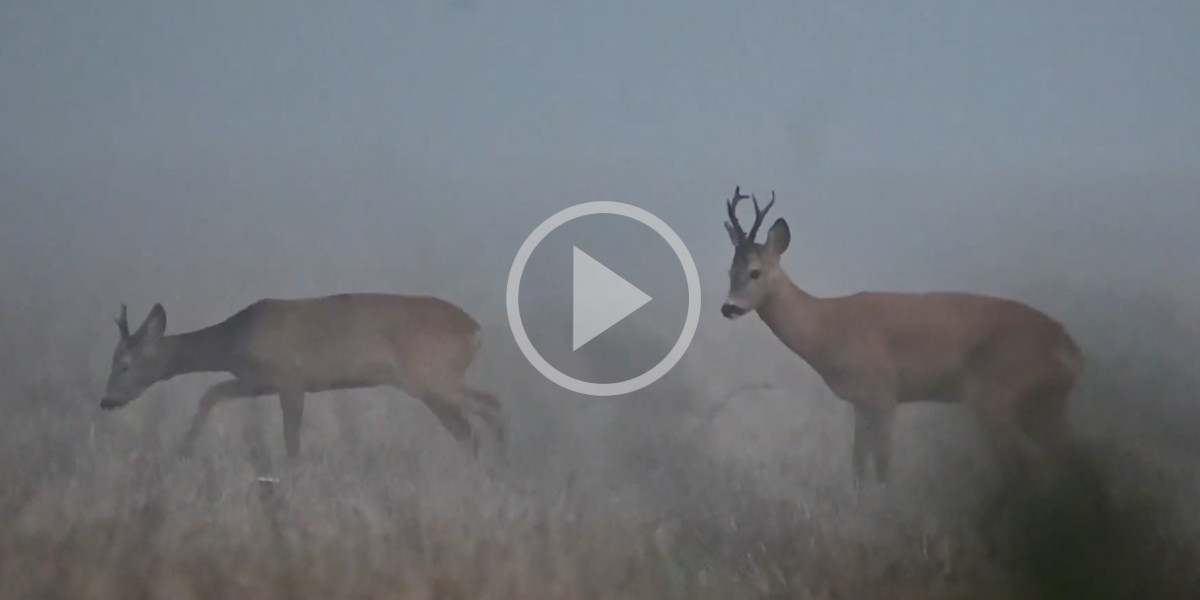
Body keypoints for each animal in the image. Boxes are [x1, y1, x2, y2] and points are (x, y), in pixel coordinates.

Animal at [97, 294, 501, 458]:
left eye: (124, 363)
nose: (106, 401)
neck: (235, 339)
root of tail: (475, 329)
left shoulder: (290, 378)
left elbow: (291, 438)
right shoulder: (259, 380)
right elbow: (213, 393)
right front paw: (184, 447)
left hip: (431, 374)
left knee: (491, 405)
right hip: (431, 386)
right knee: (467, 431)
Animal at [715, 184, 1108, 523]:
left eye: (755, 272)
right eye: (730, 270)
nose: (728, 308)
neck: (826, 329)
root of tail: (1069, 348)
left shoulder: (885, 393)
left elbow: (882, 465)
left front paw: (886, 514)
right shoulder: (861, 402)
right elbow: (857, 465)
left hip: (997, 392)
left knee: (1022, 467)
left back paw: (980, 528)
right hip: (1044, 403)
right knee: (1081, 461)